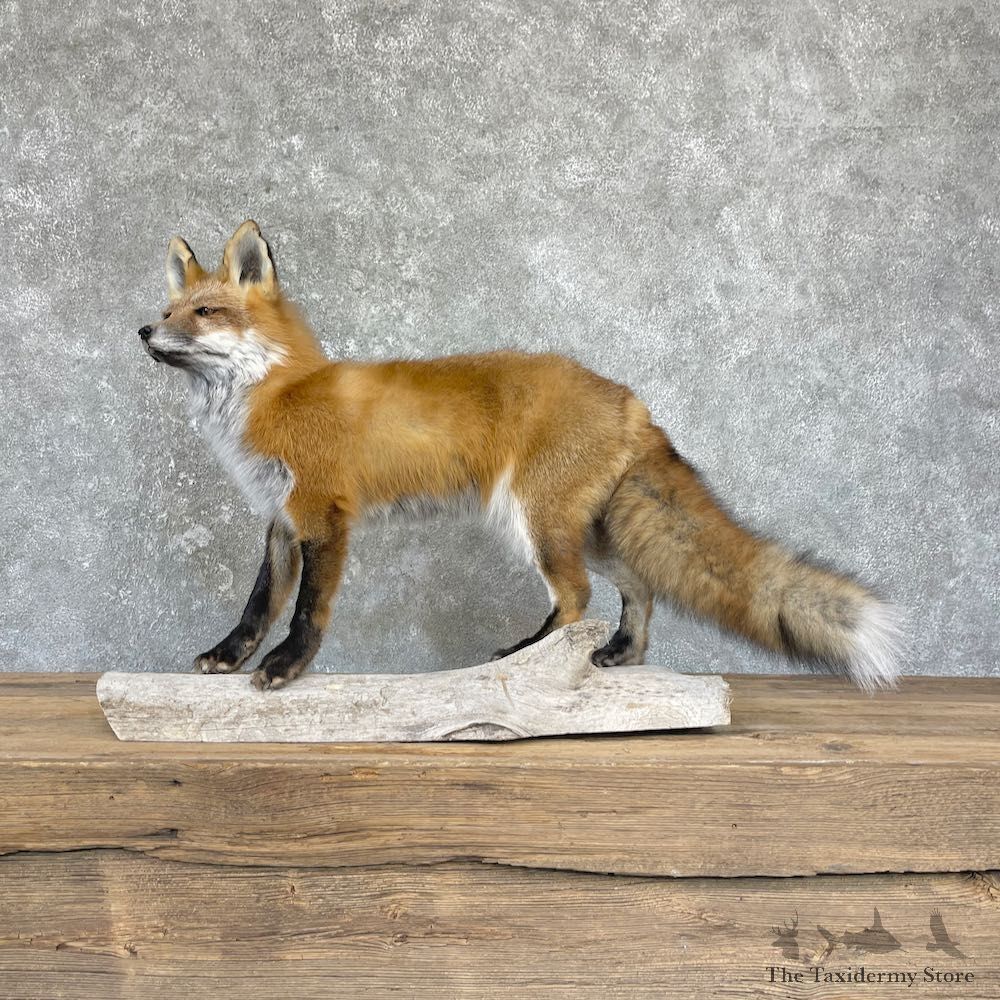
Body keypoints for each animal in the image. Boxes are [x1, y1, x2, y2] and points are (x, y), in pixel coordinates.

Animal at [139, 220, 903, 692]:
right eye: (169, 309)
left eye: (204, 313)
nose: (143, 330)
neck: (276, 392)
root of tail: (630, 396)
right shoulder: (280, 517)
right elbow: (258, 603)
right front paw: (229, 657)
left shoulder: (323, 515)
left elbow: (305, 613)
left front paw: (284, 669)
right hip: (590, 529)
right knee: (637, 588)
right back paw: (618, 656)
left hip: (533, 520)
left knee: (577, 596)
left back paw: (522, 656)